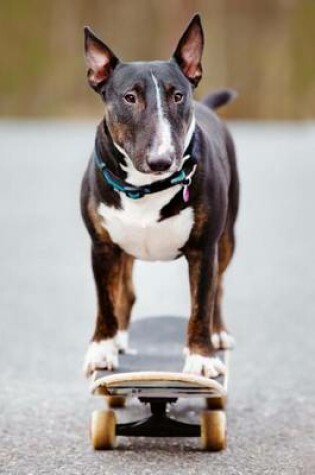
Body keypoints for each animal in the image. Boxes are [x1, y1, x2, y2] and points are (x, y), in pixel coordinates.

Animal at [81, 13, 239, 380]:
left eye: (178, 96)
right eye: (130, 97)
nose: (162, 161)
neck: (145, 188)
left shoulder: (204, 249)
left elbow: (201, 303)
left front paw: (201, 357)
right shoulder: (102, 246)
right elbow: (105, 301)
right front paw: (102, 348)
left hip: (227, 238)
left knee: (220, 288)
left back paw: (218, 333)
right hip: (123, 250)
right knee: (125, 292)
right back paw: (120, 338)